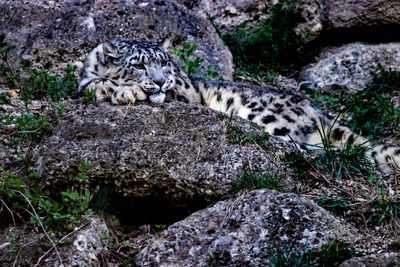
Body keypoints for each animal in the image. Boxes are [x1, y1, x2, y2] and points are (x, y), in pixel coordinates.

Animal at [78, 38, 400, 175]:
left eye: (164, 63)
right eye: (139, 64)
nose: (159, 82)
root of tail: (319, 111)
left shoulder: (182, 91)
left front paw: (123, 91)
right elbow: (89, 84)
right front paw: (105, 87)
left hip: (266, 115)